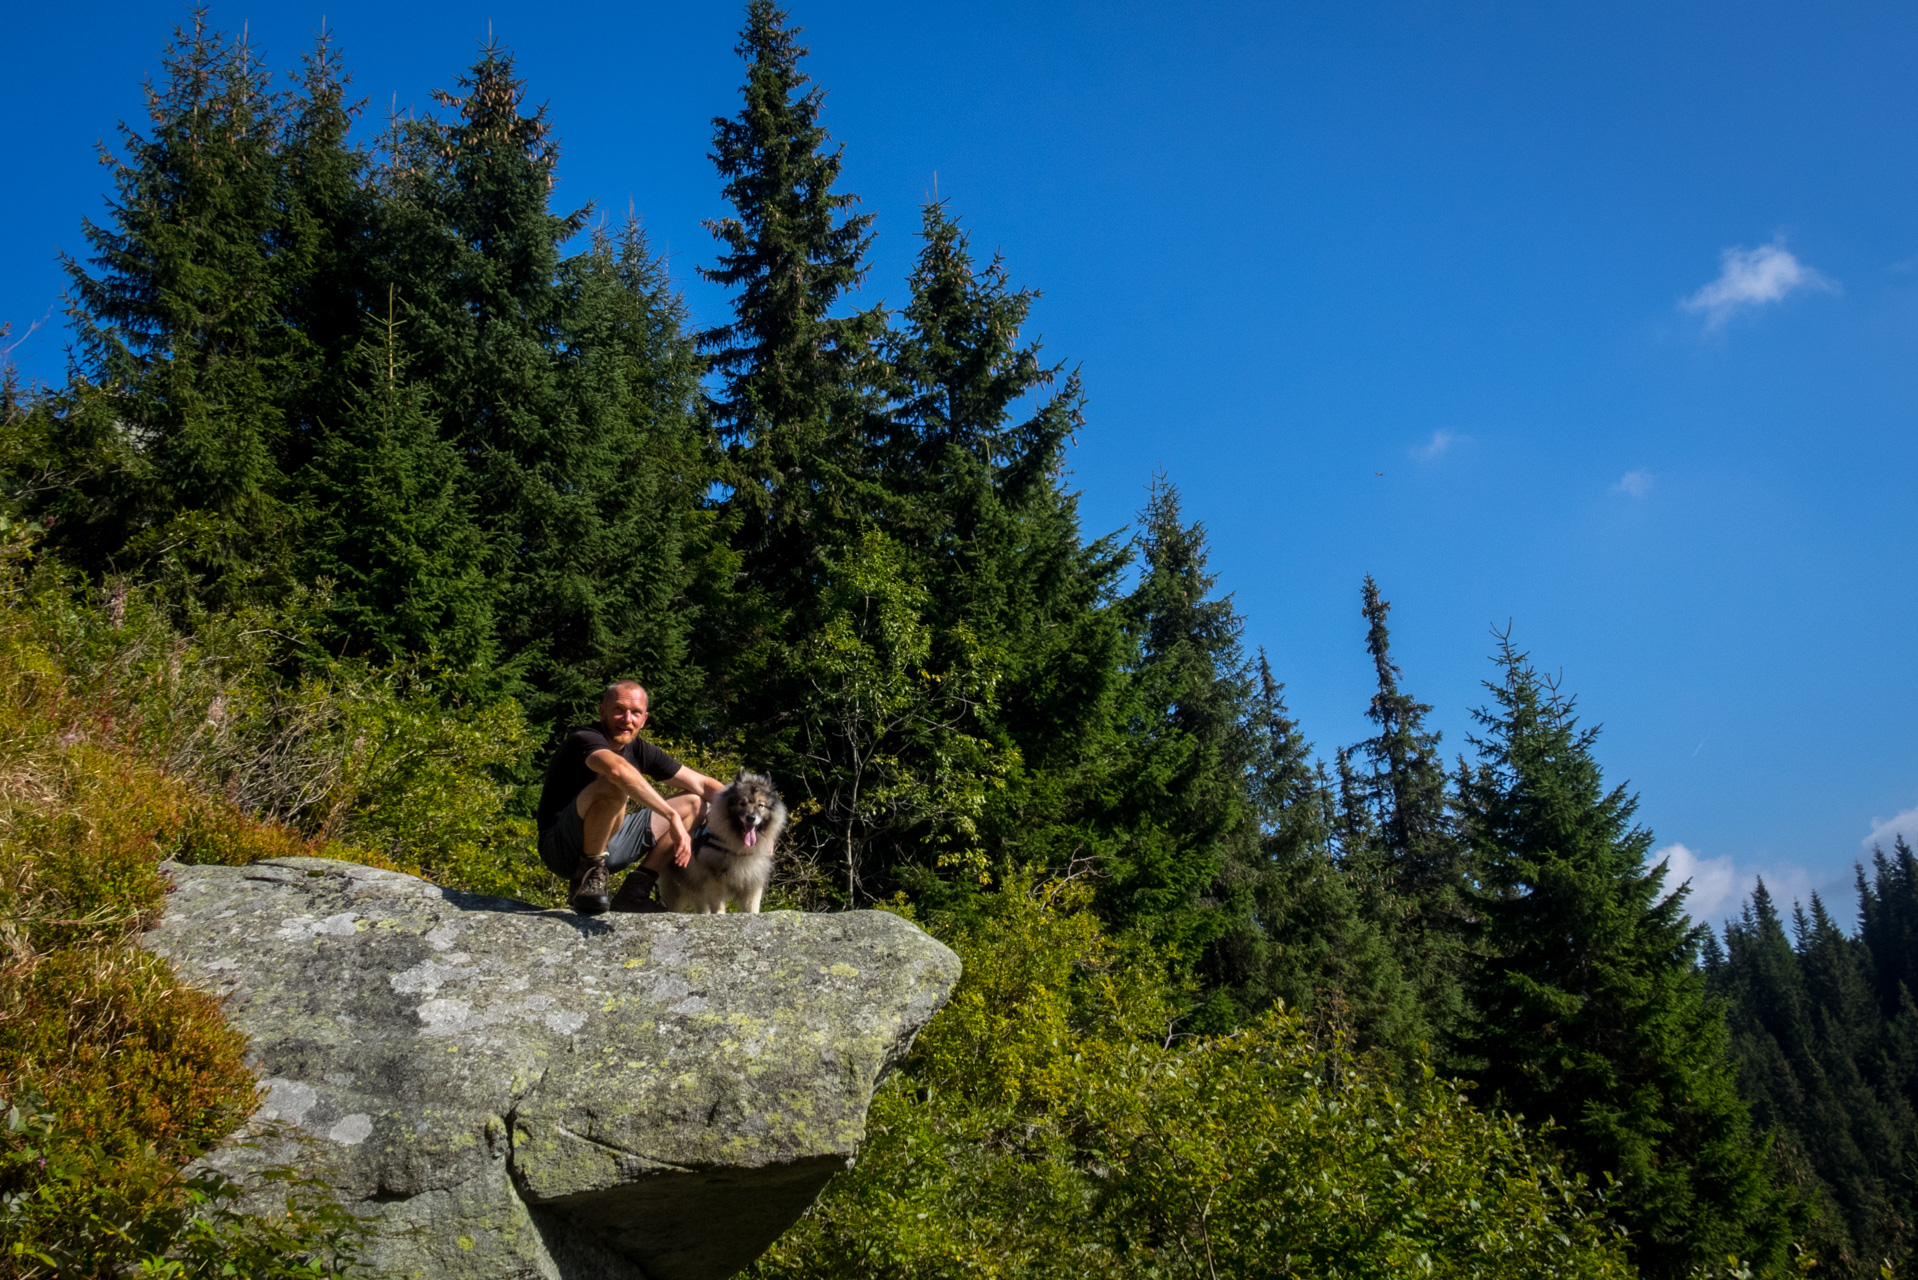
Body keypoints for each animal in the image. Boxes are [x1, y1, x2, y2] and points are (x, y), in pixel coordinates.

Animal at [652, 771, 786, 909]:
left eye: (761, 805)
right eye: (742, 803)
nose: (751, 817)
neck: (739, 848)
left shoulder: (752, 882)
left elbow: (752, 908)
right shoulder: (716, 880)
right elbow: (719, 907)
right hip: (677, 891)